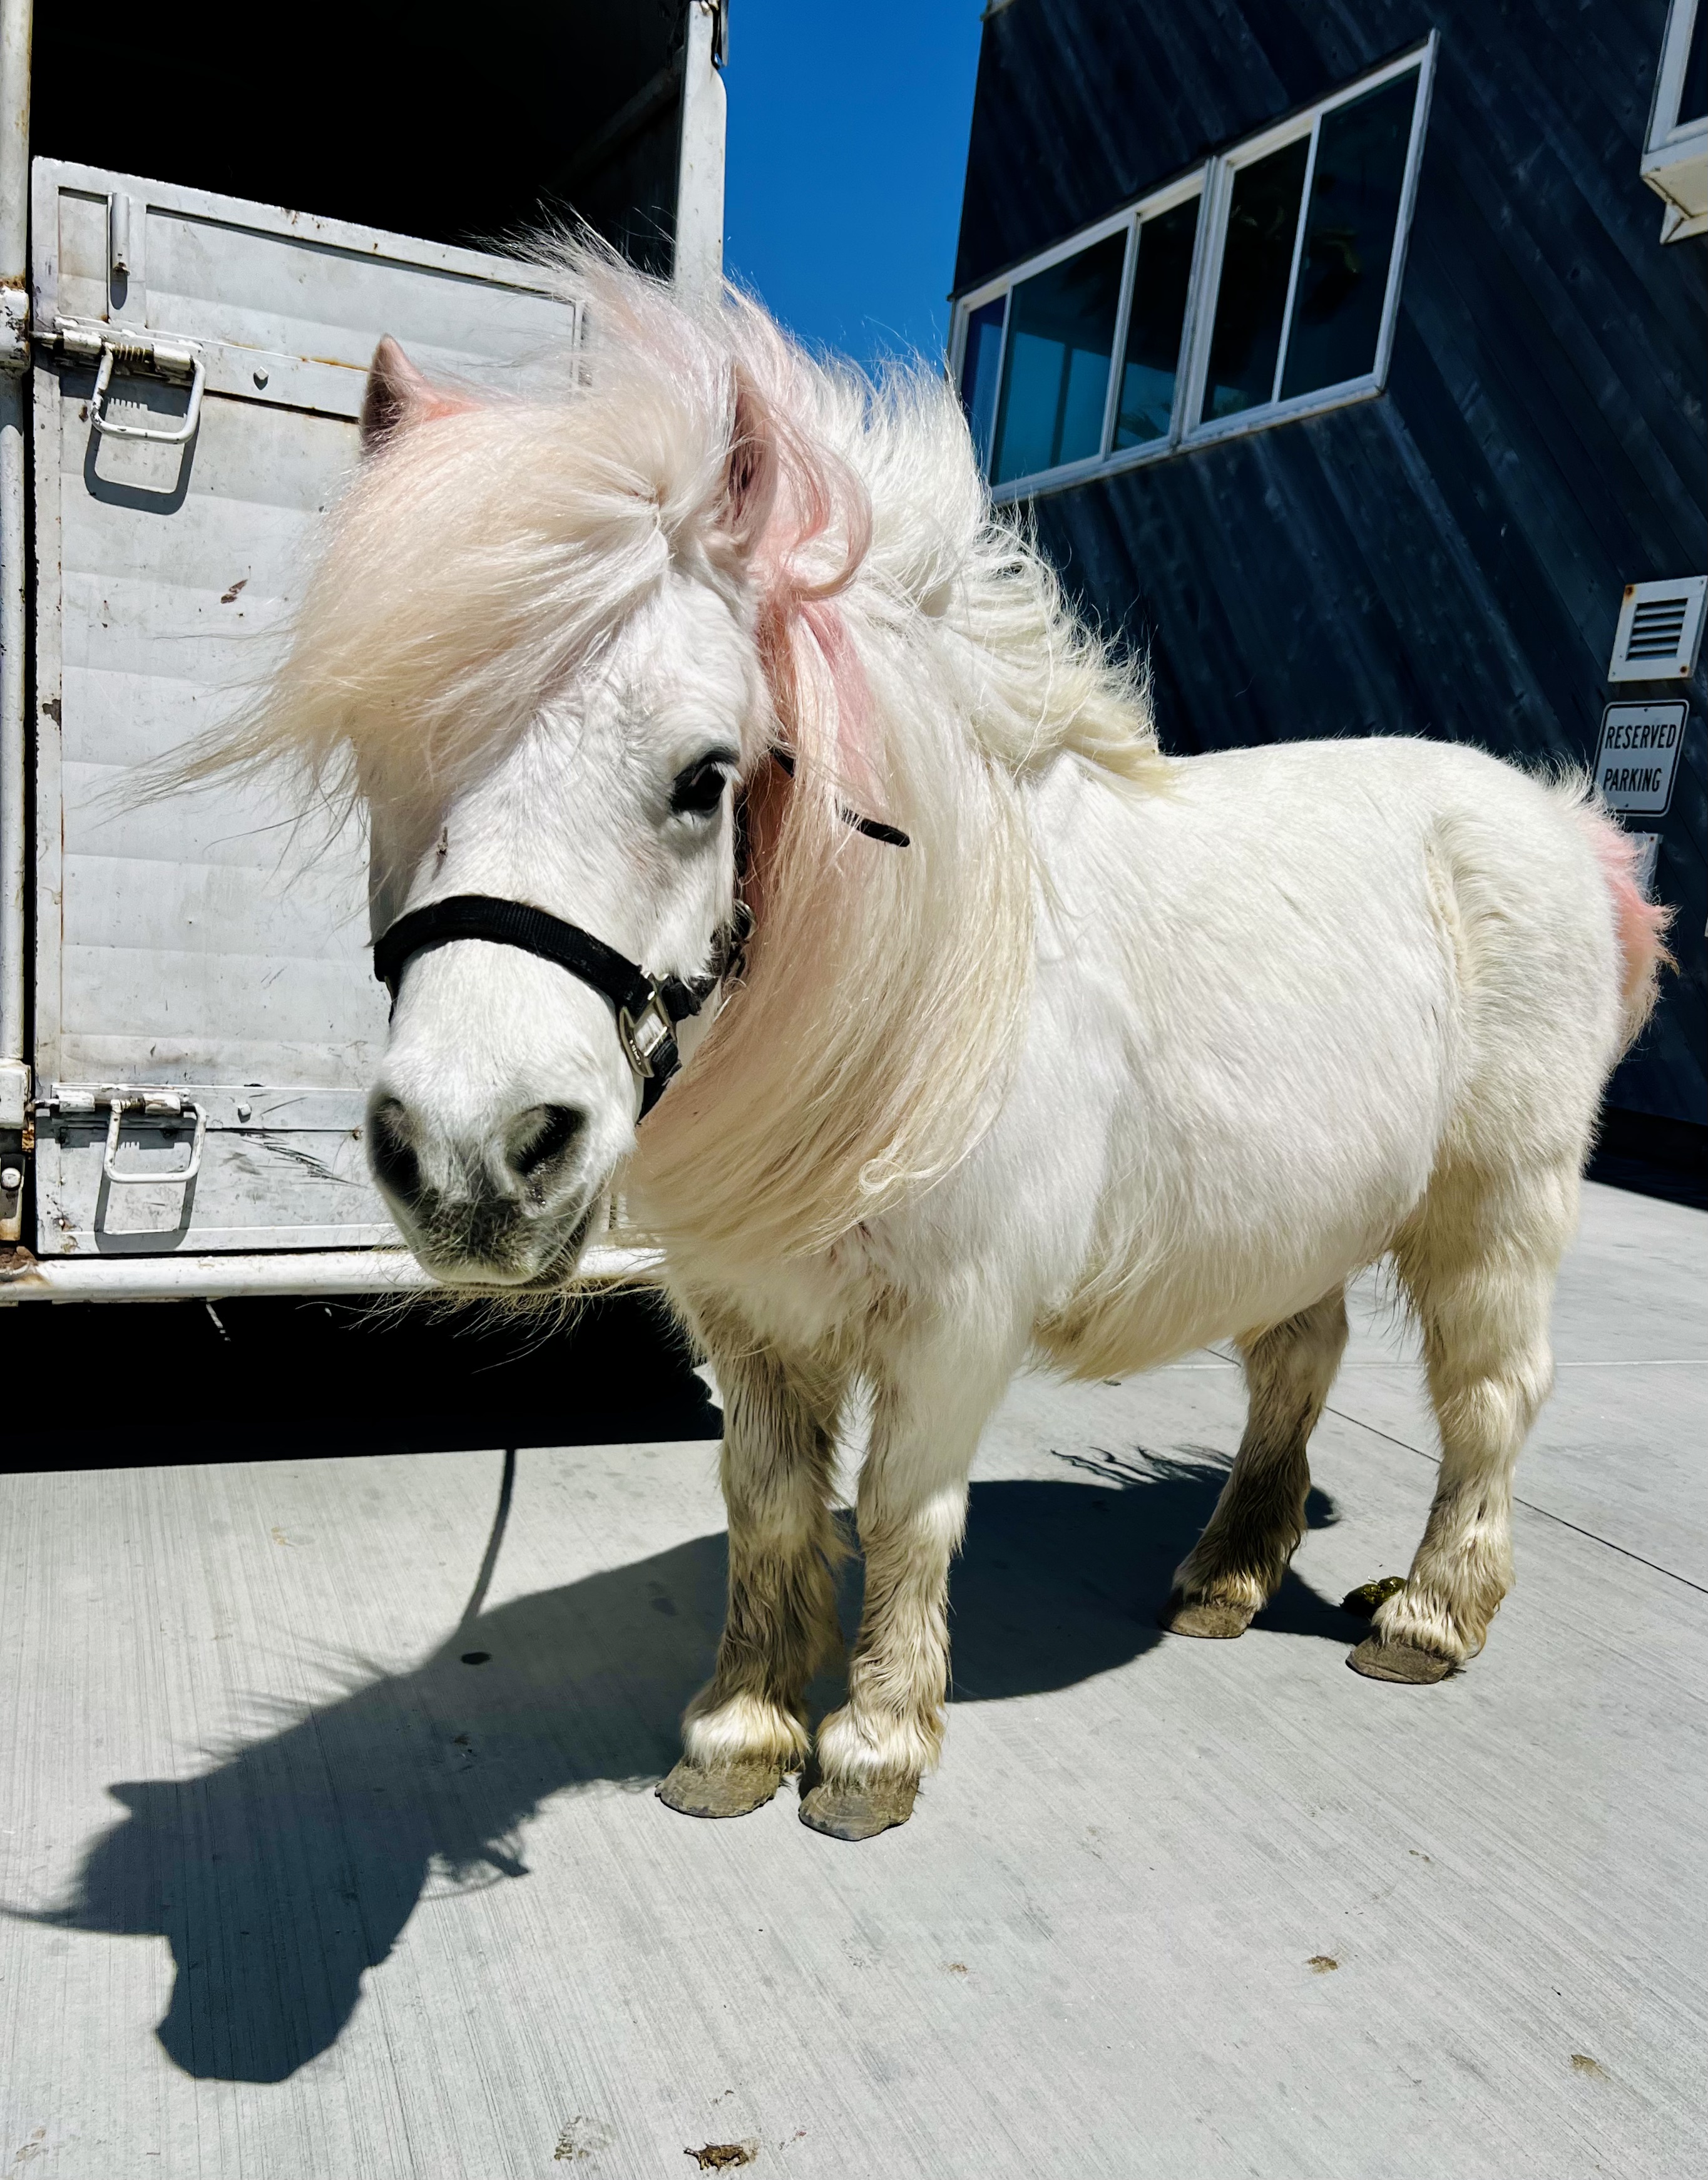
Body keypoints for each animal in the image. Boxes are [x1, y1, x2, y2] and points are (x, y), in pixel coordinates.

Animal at [217, 242, 1669, 1842]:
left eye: (703, 776)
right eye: (379, 759)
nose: (472, 1155)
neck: (912, 999)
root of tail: (1562, 823)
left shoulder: (956, 1315)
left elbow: (907, 1511)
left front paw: (870, 1747)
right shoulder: (745, 1315)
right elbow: (768, 1505)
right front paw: (737, 1731)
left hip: (1493, 1206)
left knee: (1487, 1393)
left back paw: (1424, 1611)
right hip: (1299, 1210)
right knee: (1298, 1358)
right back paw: (1226, 1573)